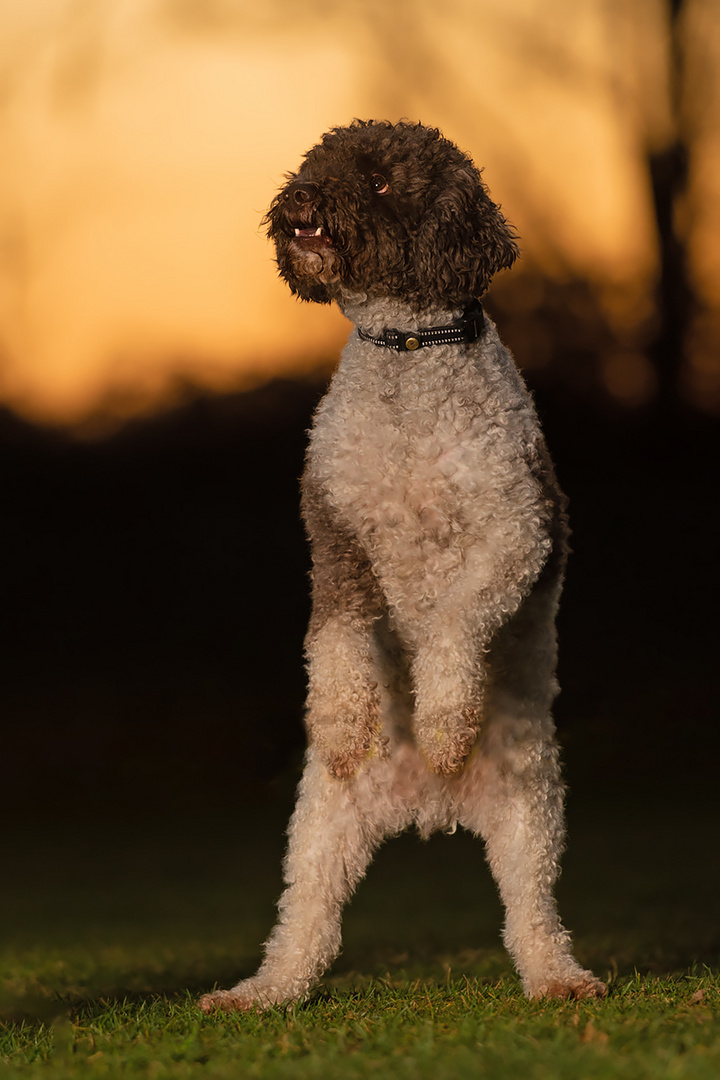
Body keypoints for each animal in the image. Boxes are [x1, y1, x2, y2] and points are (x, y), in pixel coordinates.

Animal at [199, 118, 604, 1010]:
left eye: (381, 180)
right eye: (315, 165)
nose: (300, 200)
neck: (407, 352)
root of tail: (427, 807)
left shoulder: (512, 533)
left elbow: (453, 622)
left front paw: (444, 720)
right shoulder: (336, 543)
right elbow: (334, 642)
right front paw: (343, 719)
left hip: (531, 809)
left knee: (532, 913)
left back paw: (559, 978)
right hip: (320, 823)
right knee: (306, 922)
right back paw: (261, 993)